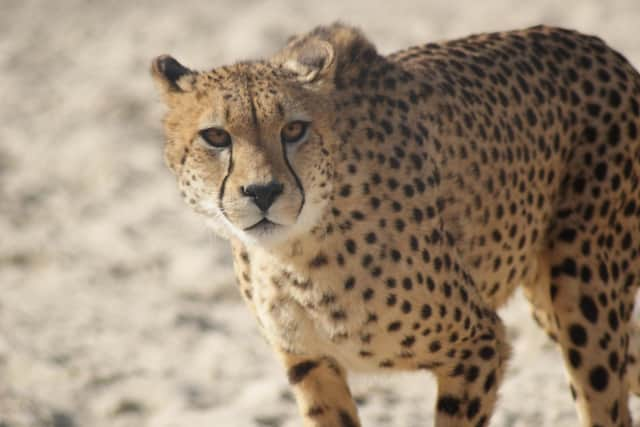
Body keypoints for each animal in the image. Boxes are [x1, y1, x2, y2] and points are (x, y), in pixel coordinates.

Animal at [151, 24, 640, 427]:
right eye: (216, 136)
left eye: (293, 129)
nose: (263, 191)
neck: (295, 252)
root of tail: (600, 49)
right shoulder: (311, 365)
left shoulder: (479, 344)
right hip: (552, 302)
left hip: (583, 296)